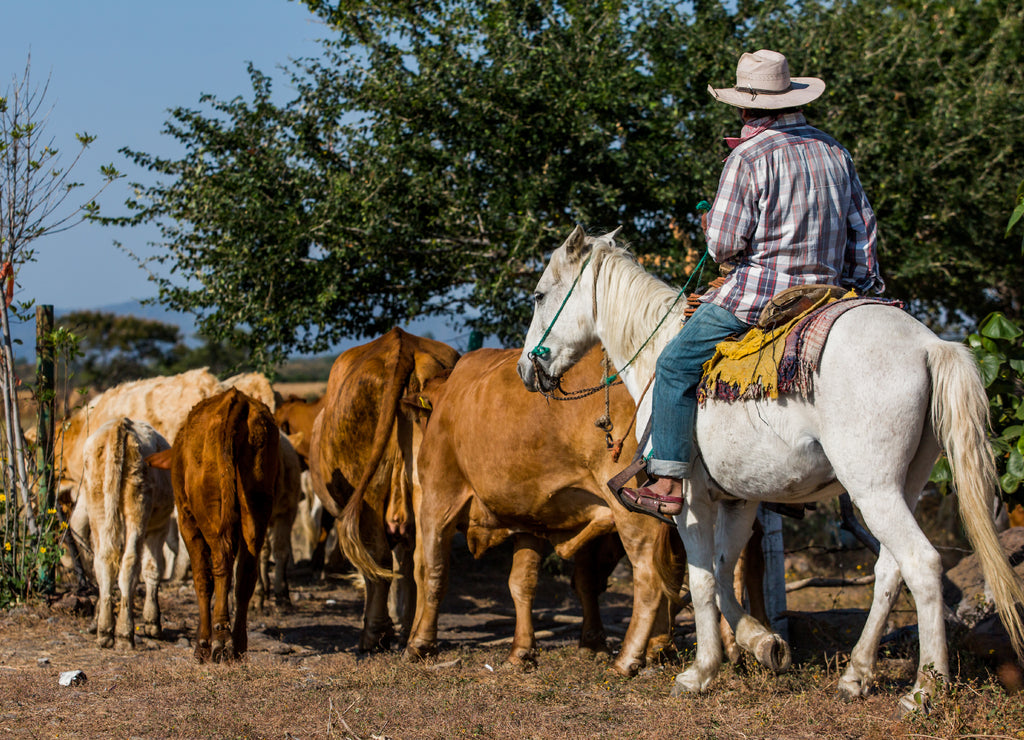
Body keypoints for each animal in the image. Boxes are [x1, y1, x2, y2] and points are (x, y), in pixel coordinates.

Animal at [80, 418, 174, 649]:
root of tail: (120, 424)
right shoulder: (159, 526)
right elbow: (153, 568)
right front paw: (152, 623)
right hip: (138, 506)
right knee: (130, 563)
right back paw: (124, 632)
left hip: (98, 504)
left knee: (103, 561)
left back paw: (105, 630)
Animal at [149, 388, 279, 663]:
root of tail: (236, 401)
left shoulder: (187, 520)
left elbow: (202, 578)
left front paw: (203, 642)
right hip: (257, 502)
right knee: (246, 572)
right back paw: (238, 643)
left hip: (208, 509)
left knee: (221, 560)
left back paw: (220, 639)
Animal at [308, 328, 460, 651]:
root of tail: (401, 342)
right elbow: (405, 568)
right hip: (429, 486)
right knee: (423, 560)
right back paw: (414, 637)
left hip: (368, 490)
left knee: (376, 560)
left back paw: (374, 634)